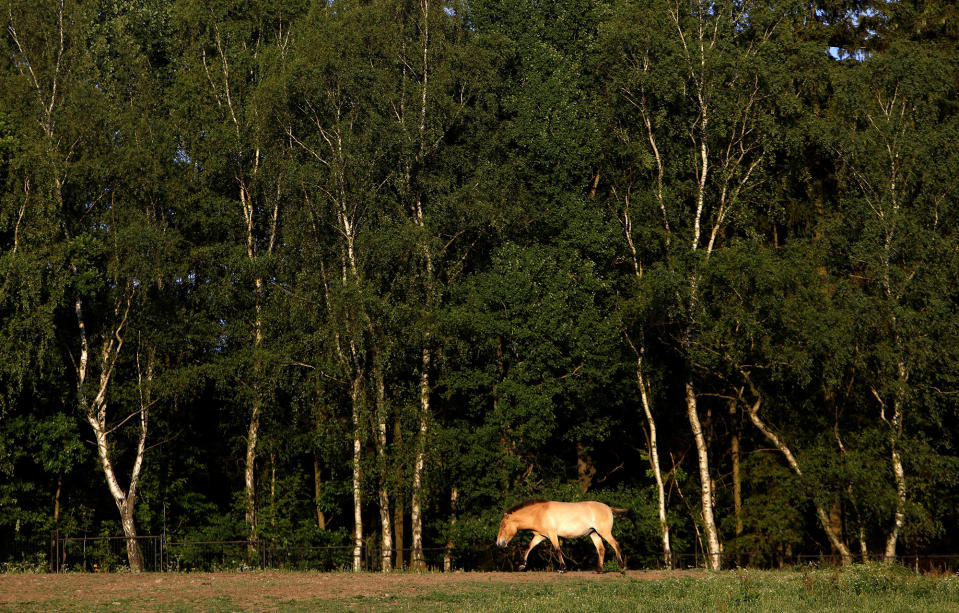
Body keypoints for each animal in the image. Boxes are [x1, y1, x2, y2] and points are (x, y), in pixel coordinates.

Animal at [496, 500, 632, 572]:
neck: (539, 513)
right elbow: (529, 547)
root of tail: (608, 508)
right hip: (594, 533)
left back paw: (622, 567)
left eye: (503, 526)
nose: (499, 544)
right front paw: (522, 565)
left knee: (615, 544)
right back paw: (599, 570)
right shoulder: (541, 536)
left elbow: (557, 549)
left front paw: (562, 568)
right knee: (601, 549)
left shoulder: (552, 534)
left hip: (604, 532)